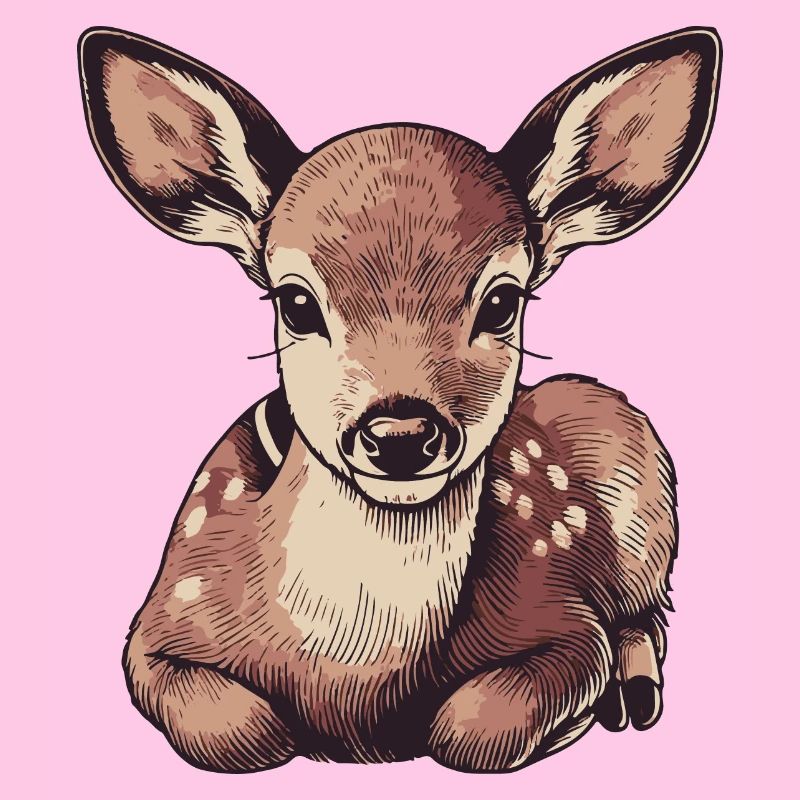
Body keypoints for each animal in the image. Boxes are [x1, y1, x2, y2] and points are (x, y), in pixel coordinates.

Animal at [78, 26, 720, 773]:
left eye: (502, 301)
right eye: (295, 302)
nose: (401, 434)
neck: (353, 674)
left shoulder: (562, 617)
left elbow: (474, 728)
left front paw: (574, 719)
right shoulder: (156, 624)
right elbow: (238, 731)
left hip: (640, 478)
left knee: (649, 609)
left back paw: (634, 692)